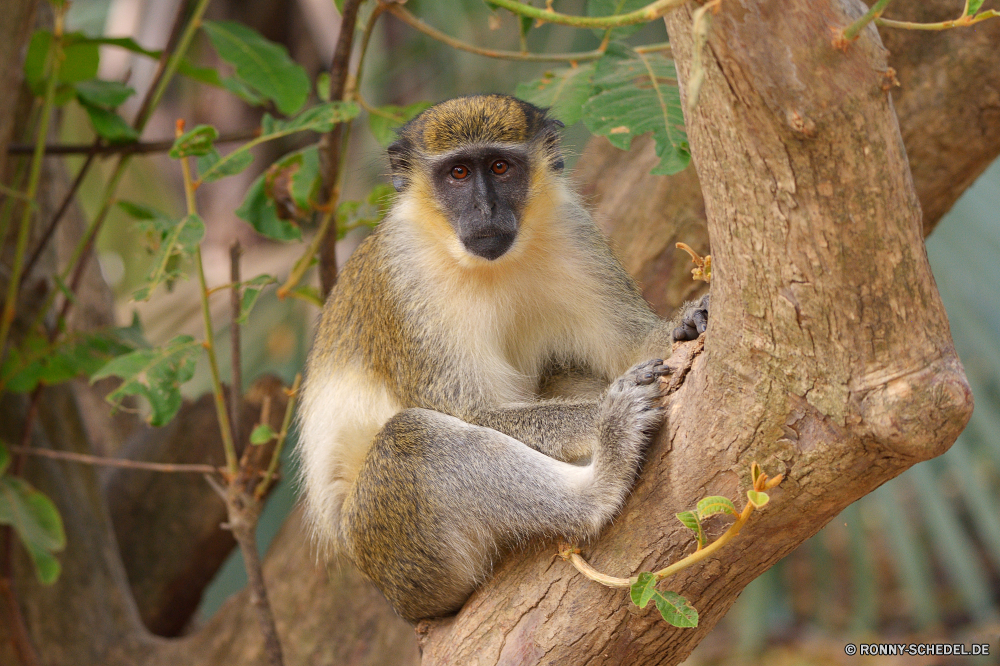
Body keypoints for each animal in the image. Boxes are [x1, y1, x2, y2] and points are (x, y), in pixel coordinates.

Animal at [292, 94, 708, 624]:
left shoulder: (576, 233)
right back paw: (602, 475)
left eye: (499, 166)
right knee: (412, 440)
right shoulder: (402, 279)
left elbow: (628, 346)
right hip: (393, 544)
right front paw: (599, 416)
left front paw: (687, 320)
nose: (486, 209)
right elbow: (476, 413)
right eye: (458, 174)